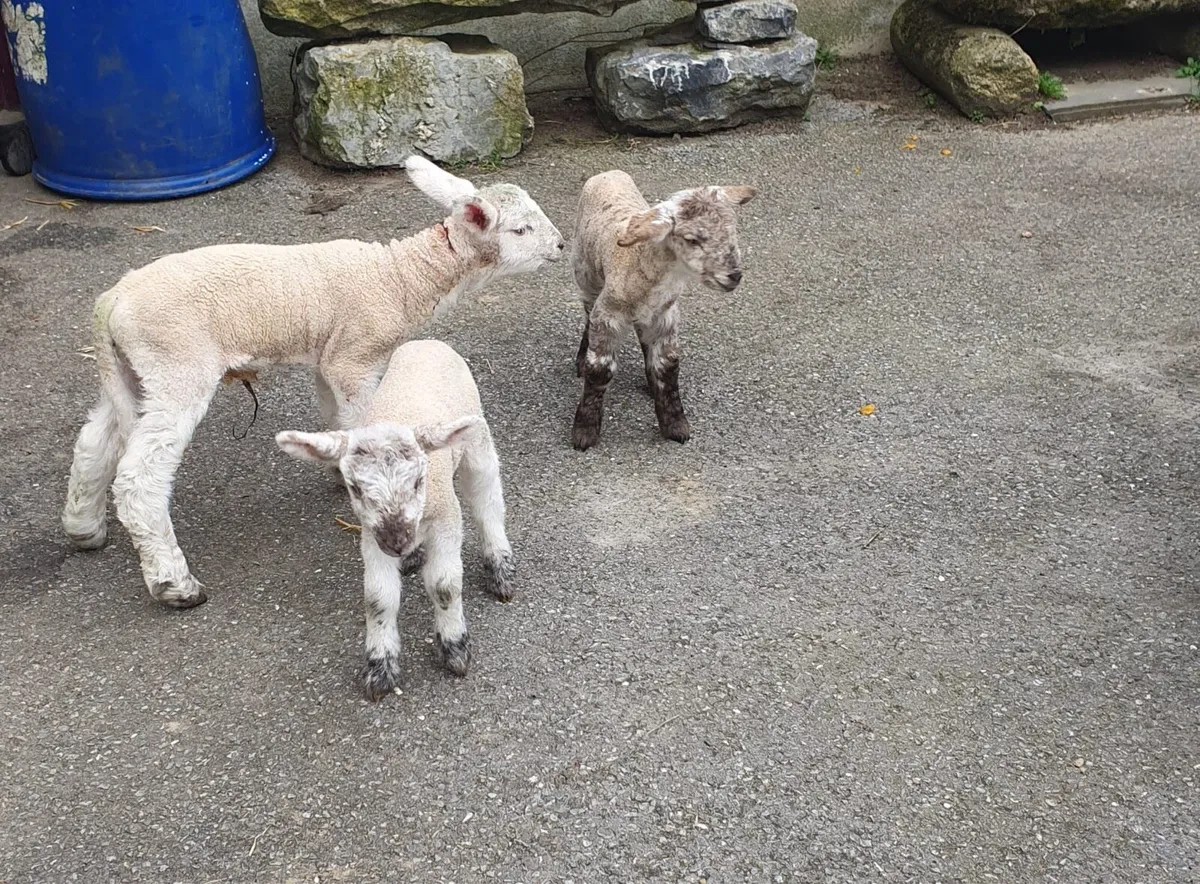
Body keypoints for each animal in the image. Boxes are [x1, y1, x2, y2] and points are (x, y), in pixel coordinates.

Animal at [62, 157, 563, 610]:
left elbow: (332, 411)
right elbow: (363, 419)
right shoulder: (355, 356)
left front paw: (336, 468)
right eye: (521, 230)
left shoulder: (330, 354)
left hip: (132, 371)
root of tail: (111, 303)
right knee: (138, 477)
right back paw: (174, 585)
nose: (560, 245)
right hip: (176, 364)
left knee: (93, 443)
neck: (401, 277)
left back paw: (84, 528)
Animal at [275, 339, 512, 700]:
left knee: (487, 498)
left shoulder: (446, 517)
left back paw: (499, 564)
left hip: (475, 437)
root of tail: (427, 342)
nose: (396, 542)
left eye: (419, 481)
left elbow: (444, 586)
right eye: (354, 488)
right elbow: (378, 597)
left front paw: (454, 648)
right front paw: (380, 667)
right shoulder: (371, 534)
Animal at [569, 170, 756, 450]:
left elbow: (667, 366)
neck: (640, 262)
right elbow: (600, 368)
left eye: (731, 232)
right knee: (587, 314)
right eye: (692, 240)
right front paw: (585, 431)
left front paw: (675, 425)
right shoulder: (607, 314)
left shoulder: (666, 317)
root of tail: (609, 173)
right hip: (586, 274)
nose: (734, 275)